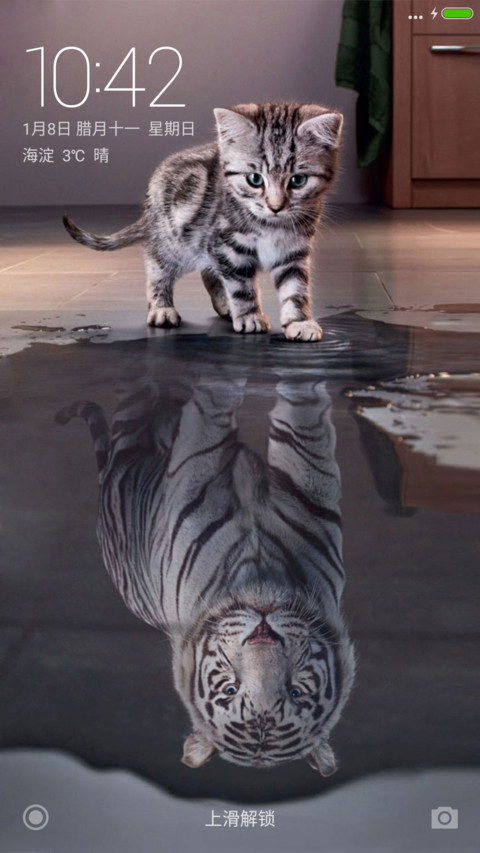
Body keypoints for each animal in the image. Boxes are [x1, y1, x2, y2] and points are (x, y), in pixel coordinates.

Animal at [56, 359, 354, 774]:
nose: (263, 633)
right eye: (230, 689)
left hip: (133, 441)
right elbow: (231, 414)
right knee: (144, 399)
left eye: (295, 691)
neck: (260, 573)